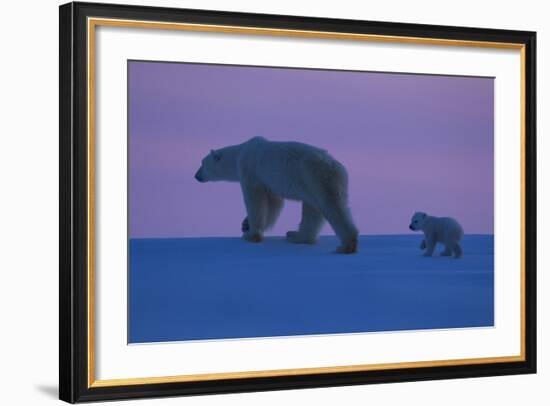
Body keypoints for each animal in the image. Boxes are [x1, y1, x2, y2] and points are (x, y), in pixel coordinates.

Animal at [196, 136, 360, 254]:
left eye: (202, 163)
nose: (196, 176)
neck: (240, 153)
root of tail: (337, 167)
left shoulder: (250, 171)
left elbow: (256, 201)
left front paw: (250, 234)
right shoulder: (268, 181)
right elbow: (274, 203)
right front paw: (245, 224)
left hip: (316, 176)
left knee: (332, 206)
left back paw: (346, 246)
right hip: (312, 183)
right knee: (312, 208)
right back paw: (297, 235)